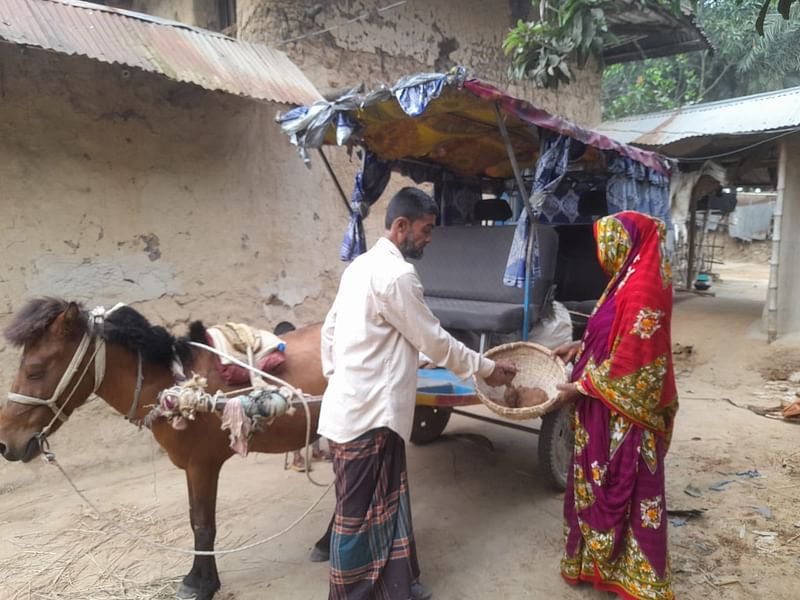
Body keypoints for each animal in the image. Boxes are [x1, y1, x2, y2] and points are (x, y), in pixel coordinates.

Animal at [0, 298, 332, 600]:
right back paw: (325, 544)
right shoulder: (191, 467)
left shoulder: (202, 464)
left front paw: (200, 584)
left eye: (34, 371)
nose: (5, 442)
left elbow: (202, 524)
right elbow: (194, 518)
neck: (173, 388)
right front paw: (201, 578)